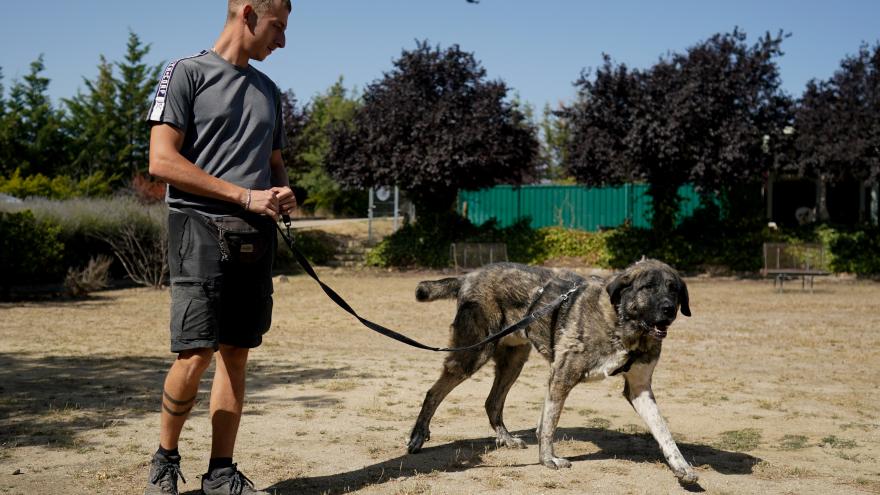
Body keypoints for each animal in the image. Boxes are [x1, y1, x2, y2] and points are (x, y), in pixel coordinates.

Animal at [402, 260, 696, 484]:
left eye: (674, 290)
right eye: (648, 287)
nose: (669, 310)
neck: (622, 324)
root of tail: (469, 276)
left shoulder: (639, 389)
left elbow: (663, 431)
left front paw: (681, 467)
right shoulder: (562, 376)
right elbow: (549, 425)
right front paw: (547, 459)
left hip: (514, 360)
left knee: (491, 402)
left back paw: (506, 438)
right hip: (473, 354)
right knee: (434, 392)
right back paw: (418, 436)